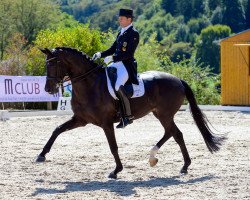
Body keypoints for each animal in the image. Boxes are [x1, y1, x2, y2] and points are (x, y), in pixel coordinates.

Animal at [37, 47, 227, 180]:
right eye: (46, 64)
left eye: (54, 64)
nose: (48, 89)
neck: (90, 85)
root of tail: (178, 80)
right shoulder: (80, 119)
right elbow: (57, 130)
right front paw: (41, 155)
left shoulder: (106, 123)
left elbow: (113, 147)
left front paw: (116, 171)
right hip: (160, 114)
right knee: (172, 133)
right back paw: (158, 159)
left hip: (164, 114)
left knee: (176, 134)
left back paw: (182, 165)